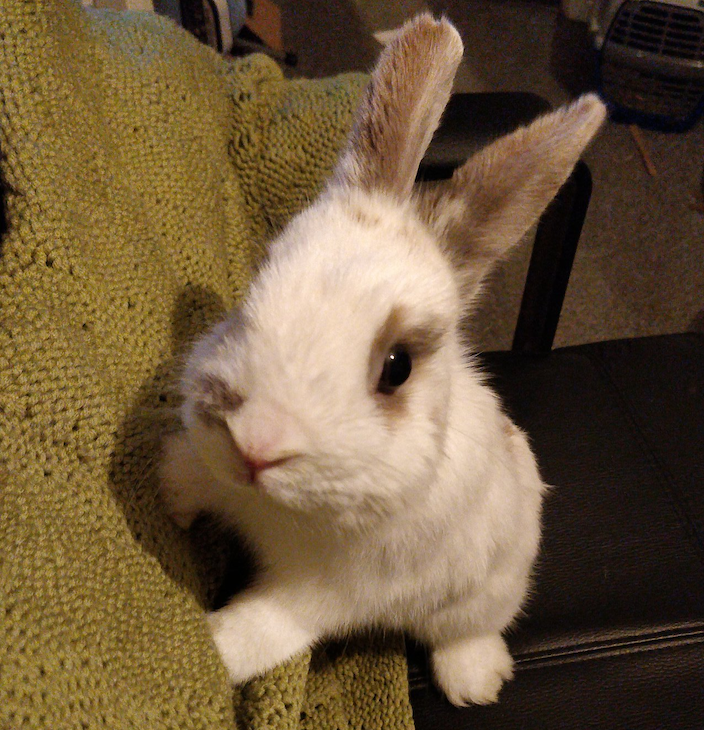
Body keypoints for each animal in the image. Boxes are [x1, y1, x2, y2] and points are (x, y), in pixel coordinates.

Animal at [159, 14, 606, 706]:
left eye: (397, 367)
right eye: (257, 284)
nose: (257, 442)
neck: (274, 508)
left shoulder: (323, 593)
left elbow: (261, 632)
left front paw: (208, 652)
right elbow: (195, 475)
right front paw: (171, 494)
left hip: (486, 592)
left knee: (468, 630)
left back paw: (477, 681)